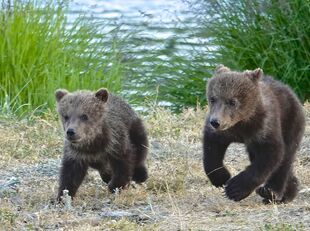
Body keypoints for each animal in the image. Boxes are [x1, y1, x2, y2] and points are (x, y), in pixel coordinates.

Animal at [203, 64, 306, 202]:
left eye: (232, 101)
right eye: (213, 98)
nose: (215, 122)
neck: (242, 122)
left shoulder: (264, 127)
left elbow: (270, 154)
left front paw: (234, 189)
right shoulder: (224, 133)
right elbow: (211, 151)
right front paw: (222, 177)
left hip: (291, 121)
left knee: (286, 157)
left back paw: (272, 192)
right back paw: (289, 190)